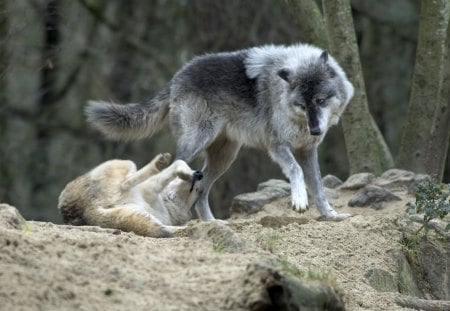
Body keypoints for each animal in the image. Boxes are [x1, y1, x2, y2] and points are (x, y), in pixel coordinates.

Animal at [57, 152, 203, 238]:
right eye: (198, 191)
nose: (200, 174)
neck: (166, 204)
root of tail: (87, 208)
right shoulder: (152, 187)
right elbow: (179, 162)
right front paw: (184, 171)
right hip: (125, 163)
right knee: (126, 182)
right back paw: (160, 162)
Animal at [86, 42, 354, 221]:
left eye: (320, 100)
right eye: (302, 105)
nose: (315, 130)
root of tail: (176, 77)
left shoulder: (307, 150)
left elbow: (318, 187)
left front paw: (331, 215)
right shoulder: (277, 146)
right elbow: (296, 171)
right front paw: (299, 200)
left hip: (224, 157)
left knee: (201, 189)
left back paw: (211, 223)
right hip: (196, 142)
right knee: (174, 170)